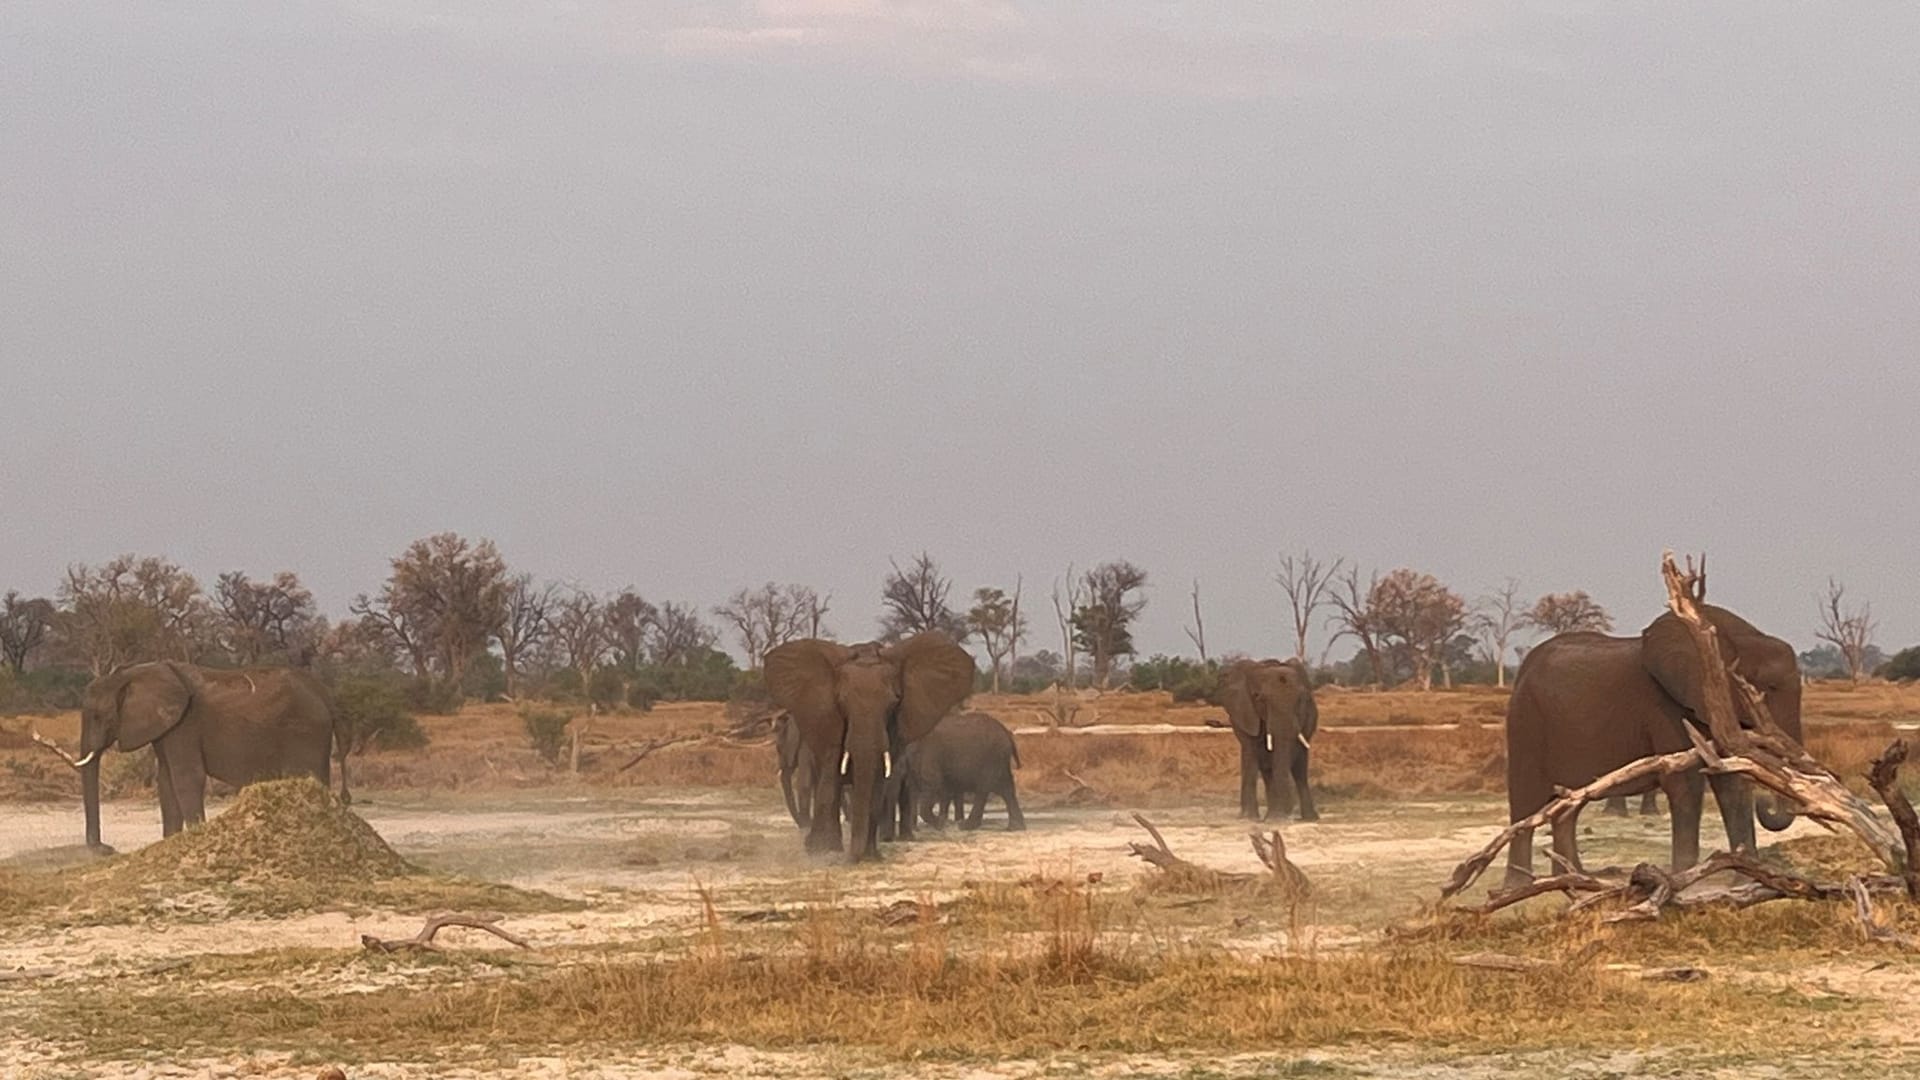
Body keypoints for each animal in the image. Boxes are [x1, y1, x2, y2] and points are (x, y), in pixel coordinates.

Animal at [77, 657, 345, 849]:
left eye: (98, 716)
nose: (104, 848)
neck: (133, 673)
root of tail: (327, 695)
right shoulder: (167, 728)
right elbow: (166, 782)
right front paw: (169, 843)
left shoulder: (185, 724)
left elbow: (186, 779)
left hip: (304, 733)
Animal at [764, 630, 975, 857]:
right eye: (841, 702)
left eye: (893, 702)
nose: (854, 857)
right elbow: (829, 776)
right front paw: (824, 851)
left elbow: (877, 783)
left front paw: (870, 856)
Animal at [1221, 653, 1313, 818]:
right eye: (1259, 698)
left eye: (1301, 699)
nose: (1288, 810)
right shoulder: (1244, 714)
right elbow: (1250, 755)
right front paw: (1249, 818)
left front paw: (1276, 818)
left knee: (1299, 770)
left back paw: (1308, 818)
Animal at [1505, 599, 1804, 887]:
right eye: (1770, 687)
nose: (1765, 803)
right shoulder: (1665, 707)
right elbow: (1685, 783)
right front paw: (1684, 880)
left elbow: (1732, 781)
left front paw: (1746, 880)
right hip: (1525, 721)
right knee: (1526, 799)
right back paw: (1519, 885)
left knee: (1569, 806)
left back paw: (1573, 878)